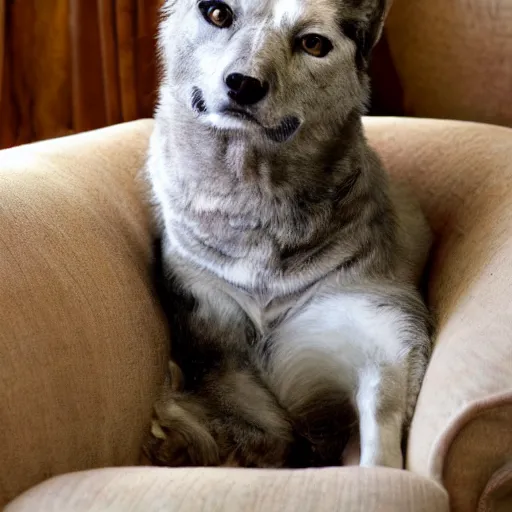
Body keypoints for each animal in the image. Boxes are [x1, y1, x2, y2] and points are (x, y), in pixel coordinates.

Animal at [143, 0, 432, 472]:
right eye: (217, 13)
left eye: (313, 43)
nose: (243, 84)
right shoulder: (214, 341)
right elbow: (252, 416)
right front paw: (186, 436)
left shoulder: (379, 327)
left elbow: (379, 413)